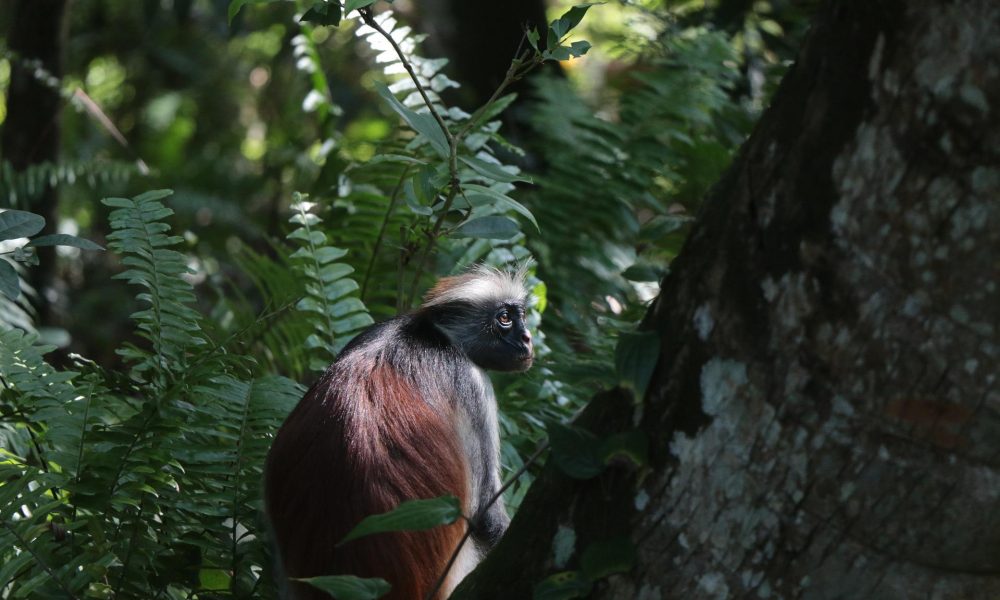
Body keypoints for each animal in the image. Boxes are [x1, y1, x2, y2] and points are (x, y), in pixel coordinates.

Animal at [264, 268, 532, 600]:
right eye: (504, 318)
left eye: (520, 316)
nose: (527, 338)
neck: (427, 336)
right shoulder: (471, 382)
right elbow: (486, 518)